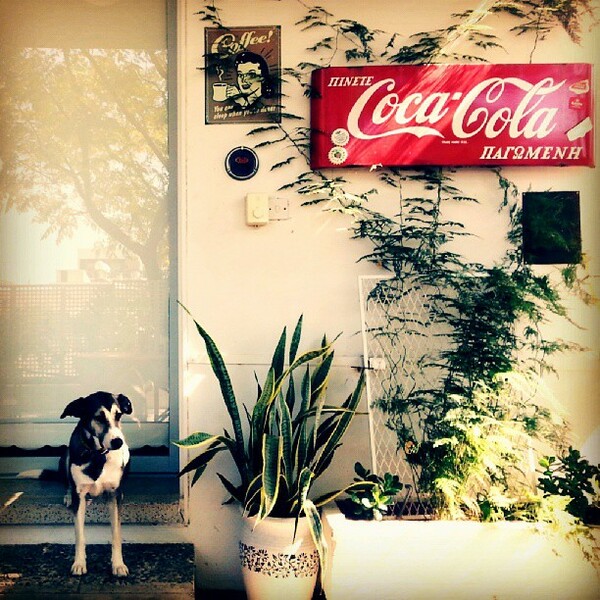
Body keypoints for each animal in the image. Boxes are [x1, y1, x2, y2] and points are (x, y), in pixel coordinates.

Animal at [60, 391, 133, 577]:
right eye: (98, 417)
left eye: (118, 415)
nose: (118, 442)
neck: (98, 454)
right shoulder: (79, 496)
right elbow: (79, 535)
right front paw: (79, 563)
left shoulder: (114, 495)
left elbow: (116, 534)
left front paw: (118, 564)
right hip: (66, 454)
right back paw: (68, 496)